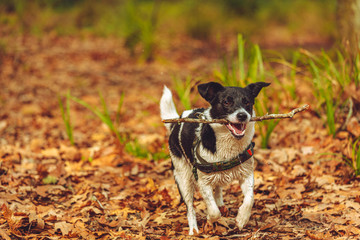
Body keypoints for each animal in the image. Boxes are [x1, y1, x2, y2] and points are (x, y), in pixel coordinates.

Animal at [160, 81, 270, 235]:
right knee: (190, 207)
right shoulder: (203, 182)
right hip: (183, 177)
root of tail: (176, 122)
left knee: (218, 187)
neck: (228, 145)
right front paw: (209, 221)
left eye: (247, 102)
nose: (242, 115)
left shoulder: (246, 174)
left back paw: (221, 204)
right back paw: (193, 229)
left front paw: (241, 219)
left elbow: (250, 200)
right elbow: (213, 211)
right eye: (226, 102)